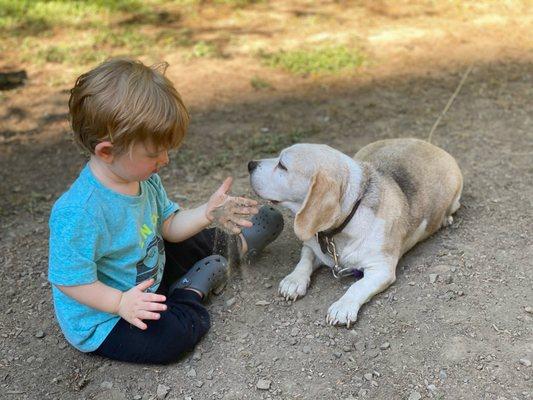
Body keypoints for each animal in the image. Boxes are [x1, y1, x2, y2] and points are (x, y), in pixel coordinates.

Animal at [249, 139, 462, 326]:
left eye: (282, 165)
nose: (250, 164)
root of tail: (427, 143)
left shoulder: (381, 269)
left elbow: (357, 286)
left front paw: (343, 307)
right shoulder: (312, 245)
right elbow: (305, 260)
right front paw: (294, 280)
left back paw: (446, 219)